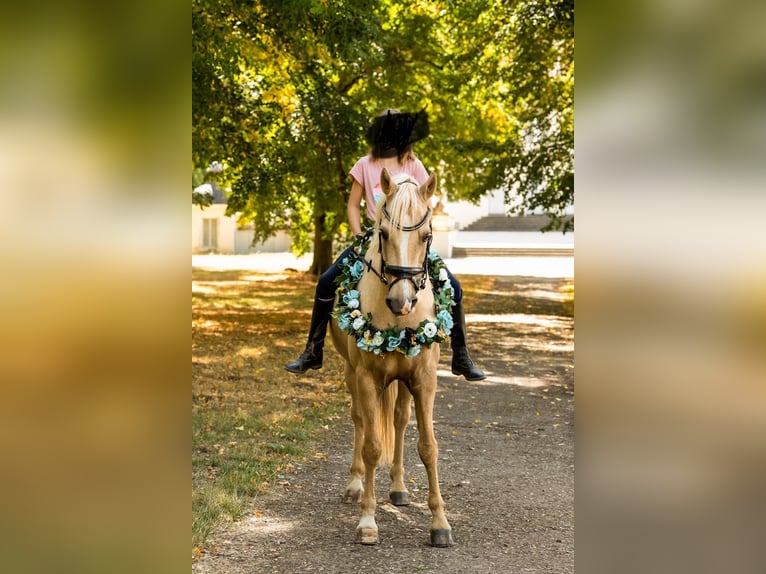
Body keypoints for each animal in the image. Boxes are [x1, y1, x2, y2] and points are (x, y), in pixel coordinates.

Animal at [328, 168, 452, 548]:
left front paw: (440, 522)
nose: (402, 301)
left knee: (398, 421)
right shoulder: (367, 378)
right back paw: (355, 484)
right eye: (382, 232)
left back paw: (398, 488)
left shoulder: (424, 379)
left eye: (427, 236)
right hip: (352, 374)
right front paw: (367, 521)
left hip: (402, 383)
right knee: (359, 421)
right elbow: (371, 446)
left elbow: (428, 447)